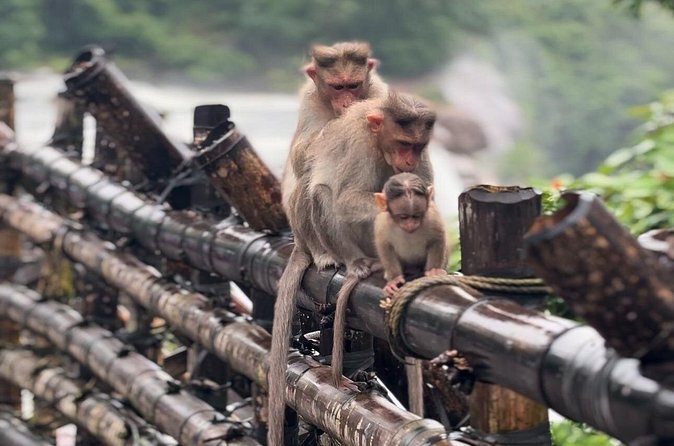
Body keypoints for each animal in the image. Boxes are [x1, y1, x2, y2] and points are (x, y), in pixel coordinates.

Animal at [268, 42, 388, 445]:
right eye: (337, 88)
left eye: (353, 84)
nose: (347, 101)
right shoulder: (310, 99)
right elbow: (304, 152)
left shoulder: (379, 94)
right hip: (303, 230)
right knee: (311, 177)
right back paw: (323, 255)